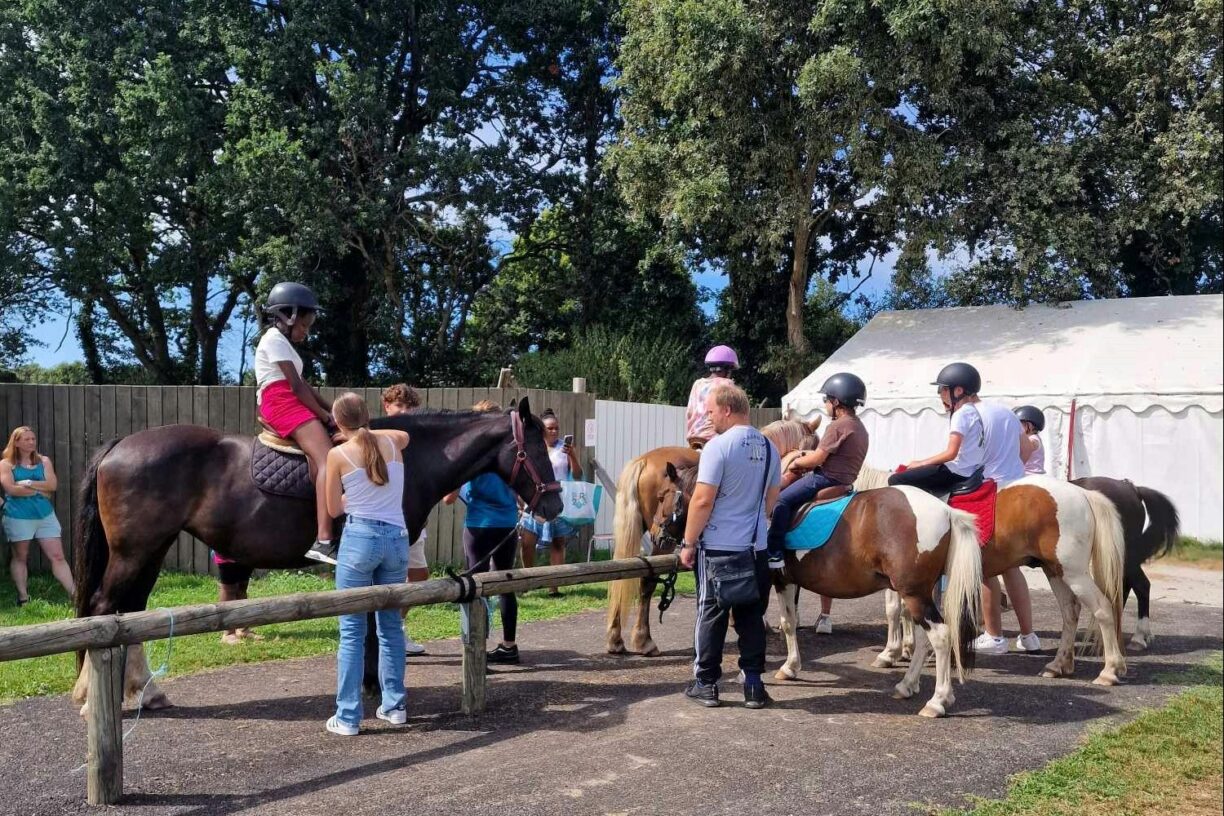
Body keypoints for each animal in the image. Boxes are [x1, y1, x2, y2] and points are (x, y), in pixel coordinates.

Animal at [71, 398, 562, 711]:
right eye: (536, 448)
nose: (554, 505)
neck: (404, 458)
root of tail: (119, 445)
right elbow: (371, 621)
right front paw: (371, 686)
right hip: (134, 552)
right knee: (104, 608)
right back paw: (94, 695)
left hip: (149, 551)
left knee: (132, 612)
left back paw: (145, 693)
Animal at [653, 462, 985, 718]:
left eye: (661, 496)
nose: (656, 535)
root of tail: (945, 511)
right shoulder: (788, 581)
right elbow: (787, 623)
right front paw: (787, 667)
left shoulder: (772, 581)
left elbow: (777, 624)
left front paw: (774, 669)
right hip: (921, 592)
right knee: (925, 638)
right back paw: (907, 685)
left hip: (913, 592)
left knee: (940, 636)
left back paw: (937, 701)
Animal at [856, 466, 1128, 686]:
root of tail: (1083, 494)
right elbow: (908, 614)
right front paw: (907, 650)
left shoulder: (901, 580)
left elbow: (894, 611)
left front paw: (890, 653)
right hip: (1055, 570)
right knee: (1070, 612)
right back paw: (1059, 664)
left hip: (1074, 572)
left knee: (1103, 610)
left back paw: (1109, 670)